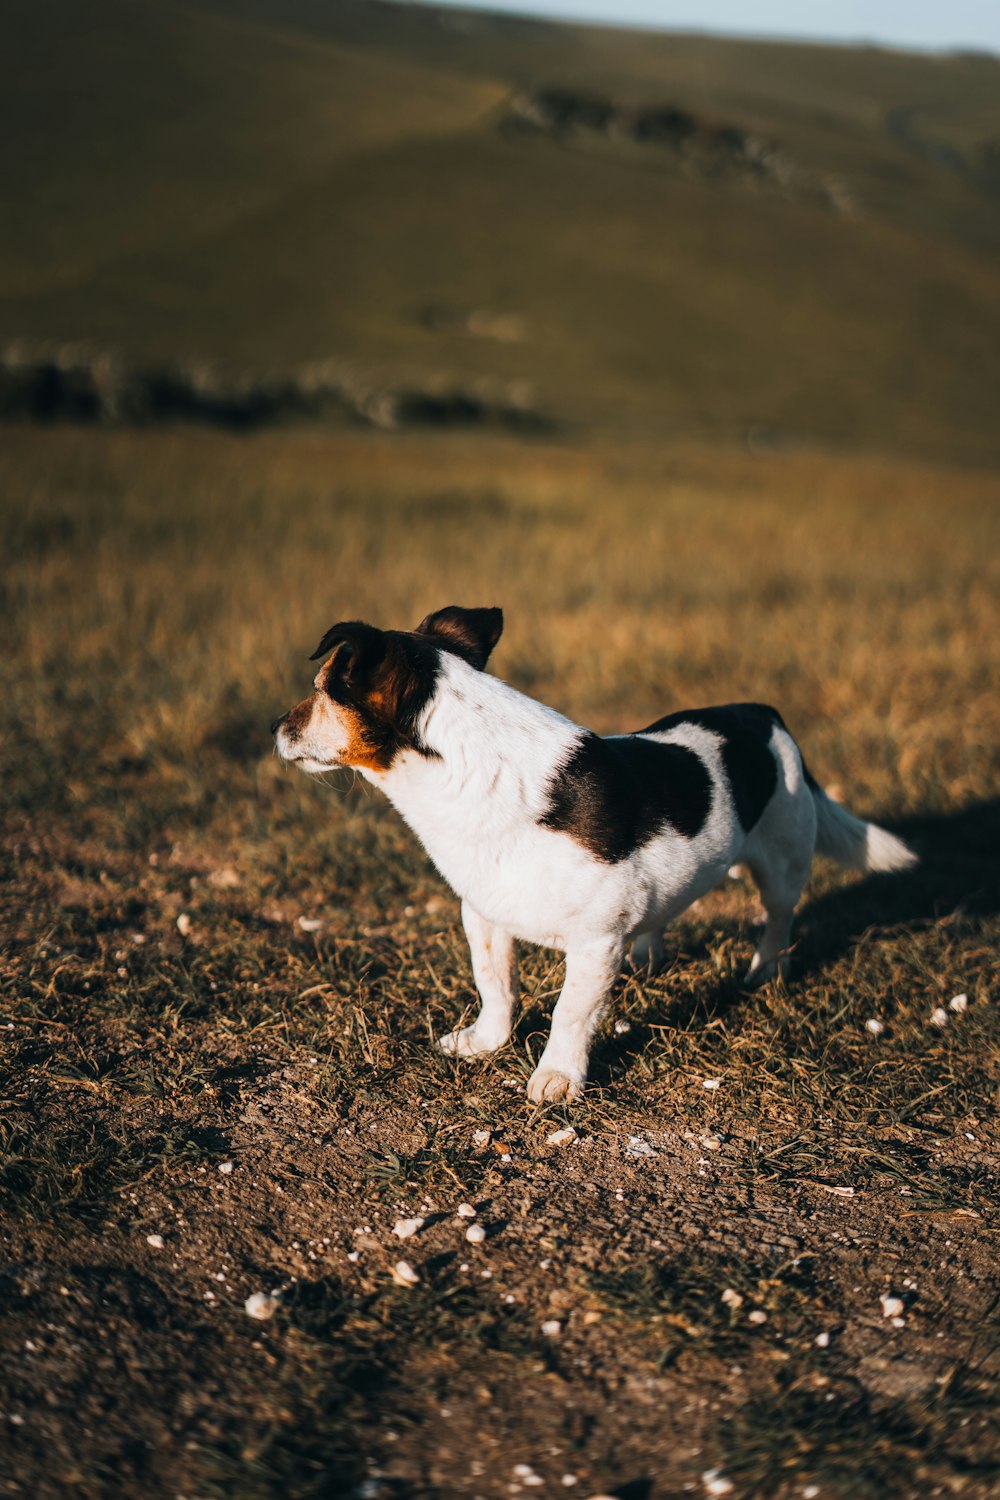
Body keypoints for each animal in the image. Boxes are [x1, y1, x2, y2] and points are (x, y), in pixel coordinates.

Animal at [271, 606, 917, 1104]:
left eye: (323, 689)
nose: (276, 725)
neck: (471, 771)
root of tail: (766, 714)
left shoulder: (595, 942)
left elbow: (570, 1014)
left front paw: (556, 1079)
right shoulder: (484, 916)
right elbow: (495, 987)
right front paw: (485, 1044)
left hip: (783, 864)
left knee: (778, 919)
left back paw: (763, 970)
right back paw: (650, 957)